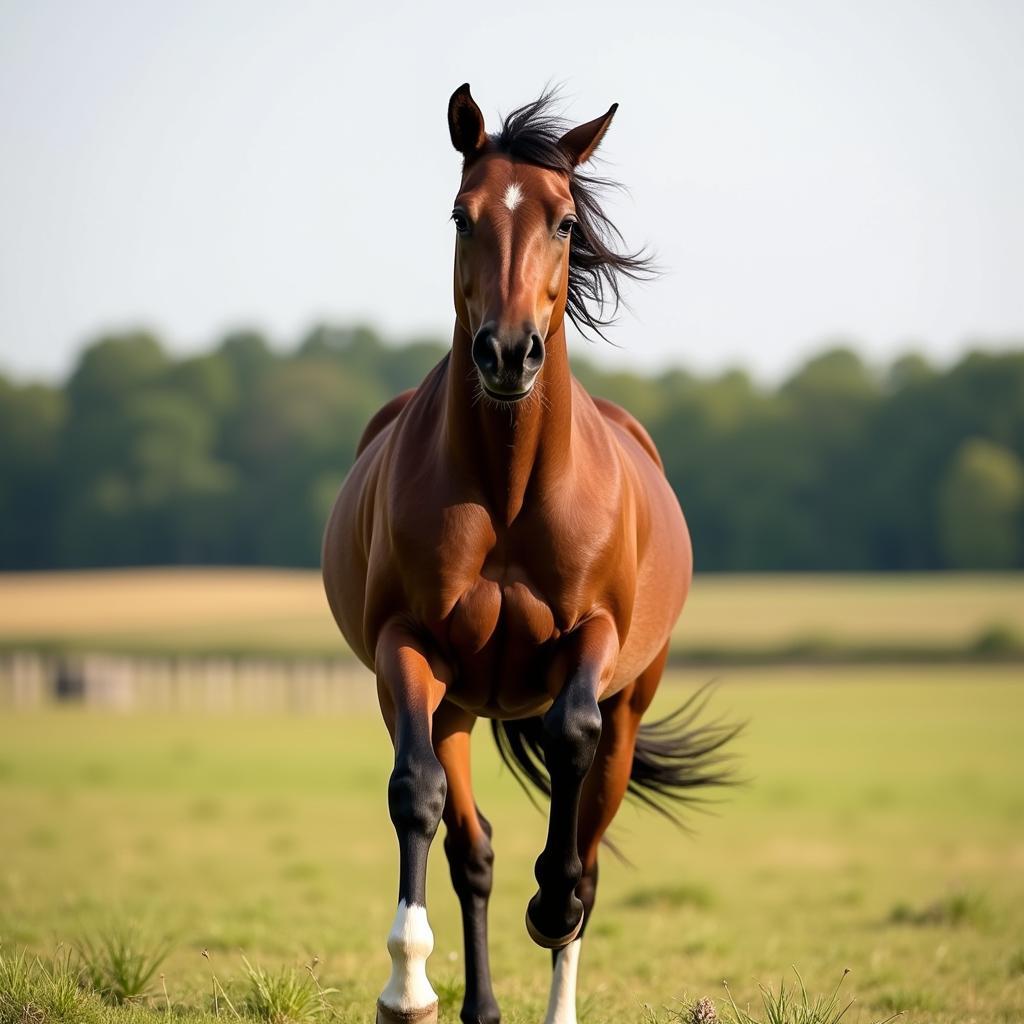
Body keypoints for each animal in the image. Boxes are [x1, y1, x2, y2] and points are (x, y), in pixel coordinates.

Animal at [323, 86, 733, 1024]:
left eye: (565, 222)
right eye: (461, 215)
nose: (508, 352)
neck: (508, 492)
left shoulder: (596, 640)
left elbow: (570, 747)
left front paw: (551, 903)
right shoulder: (407, 649)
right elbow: (416, 793)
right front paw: (406, 985)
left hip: (628, 710)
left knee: (590, 839)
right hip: (454, 704)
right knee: (470, 850)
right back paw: (476, 1005)